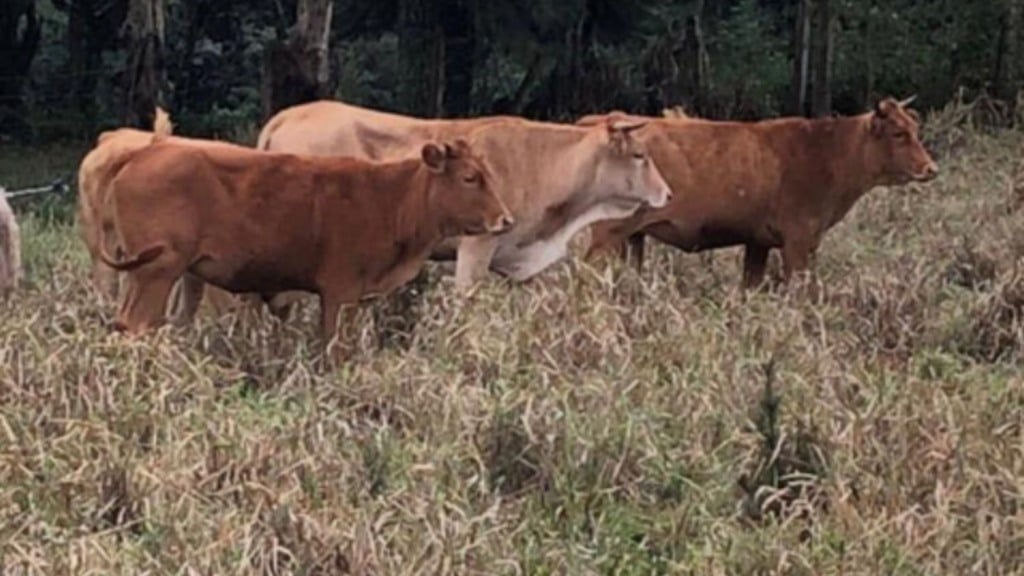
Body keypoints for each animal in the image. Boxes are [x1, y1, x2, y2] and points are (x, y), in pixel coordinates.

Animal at [100, 136, 516, 356]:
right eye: (469, 177)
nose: (506, 220)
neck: (389, 198)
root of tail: (146, 150)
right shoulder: (340, 292)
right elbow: (335, 348)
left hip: (159, 275)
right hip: (157, 271)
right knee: (136, 324)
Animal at [581, 98, 937, 289]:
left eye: (915, 129)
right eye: (898, 133)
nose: (931, 169)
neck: (828, 153)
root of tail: (606, 118)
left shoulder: (758, 242)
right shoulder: (799, 242)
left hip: (631, 236)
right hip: (608, 234)